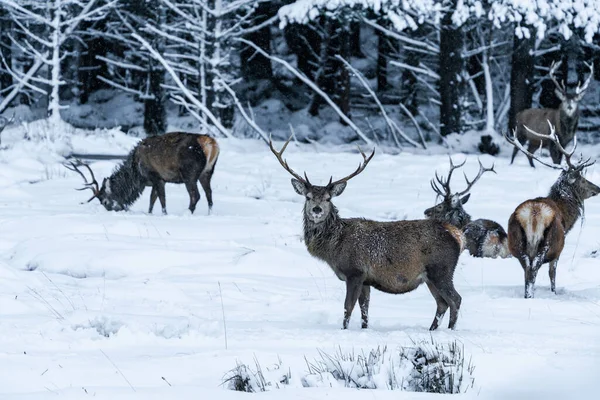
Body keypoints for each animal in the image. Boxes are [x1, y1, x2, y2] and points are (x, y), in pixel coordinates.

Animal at [64, 132, 219, 214]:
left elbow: (161, 200)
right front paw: (150, 214)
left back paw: (187, 213)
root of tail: (210, 143)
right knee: (209, 194)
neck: (137, 176)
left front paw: (165, 214)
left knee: (195, 195)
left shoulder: (156, 176)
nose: (118, 210)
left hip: (189, 173)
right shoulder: (157, 180)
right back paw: (209, 214)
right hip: (207, 172)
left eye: (105, 201)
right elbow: (152, 199)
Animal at [270, 138, 464, 332]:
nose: (317, 210)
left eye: (328, 198)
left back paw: (450, 330)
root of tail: (457, 235)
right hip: (430, 277)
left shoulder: (355, 271)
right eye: (308, 197)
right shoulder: (366, 280)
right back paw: (433, 329)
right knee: (442, 303)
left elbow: (348, 307)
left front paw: (344, 330)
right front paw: (364, 328)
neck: (334, 247)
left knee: (455, 299)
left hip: (442, 269)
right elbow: (365, 309)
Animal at [504, 123, 596, 298]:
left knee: (526, 270)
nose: (598, 188)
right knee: (534, 269)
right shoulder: (558, 250)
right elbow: (552, 273)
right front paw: (554, 293)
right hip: (548, 242)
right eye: (582, 179)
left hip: (517, 242)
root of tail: (533, 214)